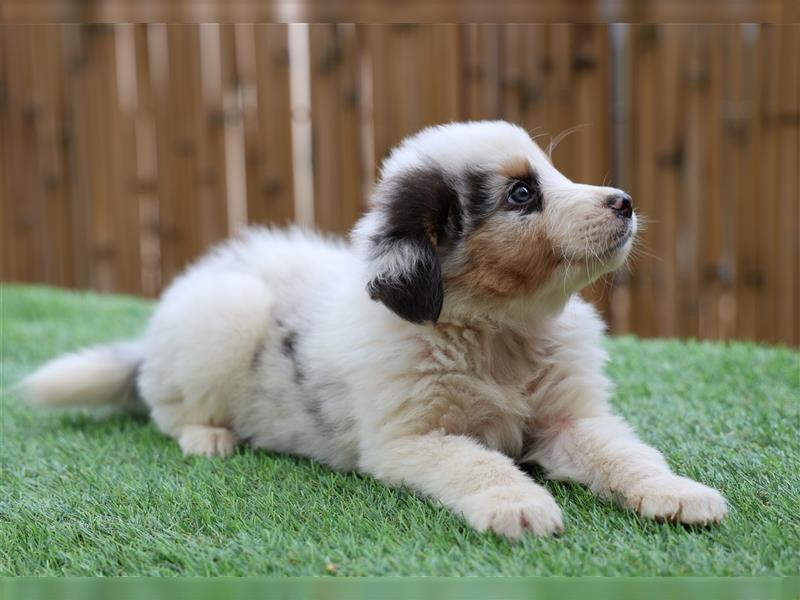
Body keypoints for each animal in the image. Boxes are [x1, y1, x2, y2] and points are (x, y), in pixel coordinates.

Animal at [21, 119, 728, 536]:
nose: (625, 203)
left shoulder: (570, 419)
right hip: (223, 318)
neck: (499, 331)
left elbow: (626, 454)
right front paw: (518, 505)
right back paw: (208, 437)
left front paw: (678, 493)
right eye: (522, 194)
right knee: (163, 405)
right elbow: (480, 463)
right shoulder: (411, 438)